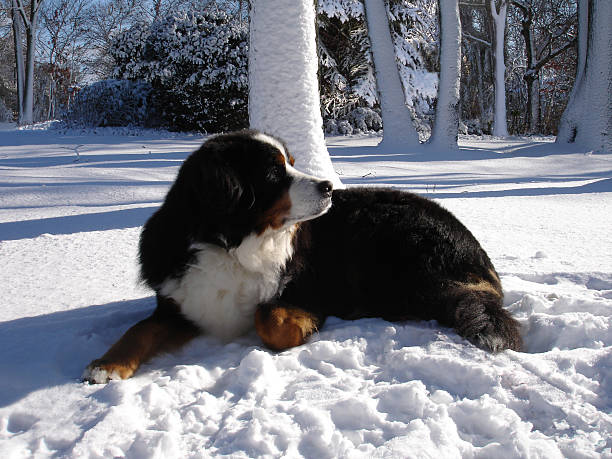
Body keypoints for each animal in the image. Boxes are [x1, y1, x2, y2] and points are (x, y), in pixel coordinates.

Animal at [82, 130, 520, 384]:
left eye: (291, 164)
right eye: (275, 174)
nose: (328, 186)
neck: (231, 246)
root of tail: (476, 250)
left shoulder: (310, 289)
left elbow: (269, 319)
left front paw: (299, 329)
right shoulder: (179, 301)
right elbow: (139, 330)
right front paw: (108, 363)